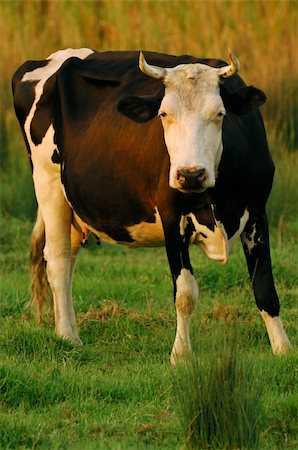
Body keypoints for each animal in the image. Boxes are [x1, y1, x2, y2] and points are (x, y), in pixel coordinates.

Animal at [11, 48, 292, 362]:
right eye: (164, 114)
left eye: (220, 114)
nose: (190, 174)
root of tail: (57, 57)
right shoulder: (172, 218)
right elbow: (185, 294)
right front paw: (180, 355)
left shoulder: (257, 212)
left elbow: (265, 288)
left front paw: (283, 349)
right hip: (47, 183)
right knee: (57, 259)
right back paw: (68, 337)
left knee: (69, 258)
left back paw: (68, 328)